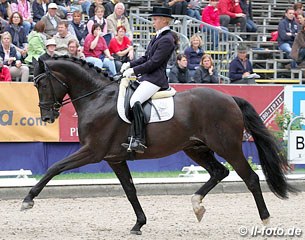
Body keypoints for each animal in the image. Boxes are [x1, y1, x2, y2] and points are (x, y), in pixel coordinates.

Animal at [22, 57, 296, 234]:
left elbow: (54, 167)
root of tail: (229, 97)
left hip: (227, 146)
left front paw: (28, 200)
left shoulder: (93, 151)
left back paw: (266, 221)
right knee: (220, 172)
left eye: (42, 84)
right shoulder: (114, 158)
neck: (97, 98)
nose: (47, 118)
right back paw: (197, 205)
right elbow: (130, 190)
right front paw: (139, 224)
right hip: (195, 148)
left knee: (250, 178)